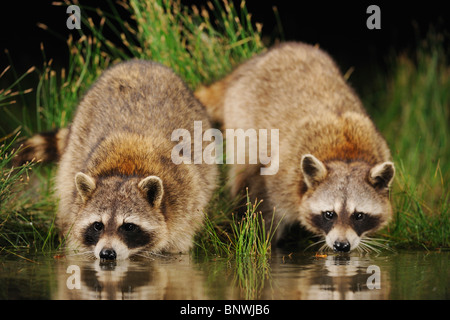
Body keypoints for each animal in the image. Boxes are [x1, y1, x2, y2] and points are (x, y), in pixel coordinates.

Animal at [18, 60, 218, 260]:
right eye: (98, 225)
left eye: (128, 226)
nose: (107, 253)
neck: (125, 170)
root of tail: (139, 63)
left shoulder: (185, 201)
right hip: (75, 145)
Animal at [196, 42, 394, 252]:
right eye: (329, 214)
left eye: (359, 215)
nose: (341, 245)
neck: (346, 154)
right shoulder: (284, 178)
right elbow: (267, 209)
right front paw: (265, 240)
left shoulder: (379, 146)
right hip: (241, 117)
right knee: (245, 171)